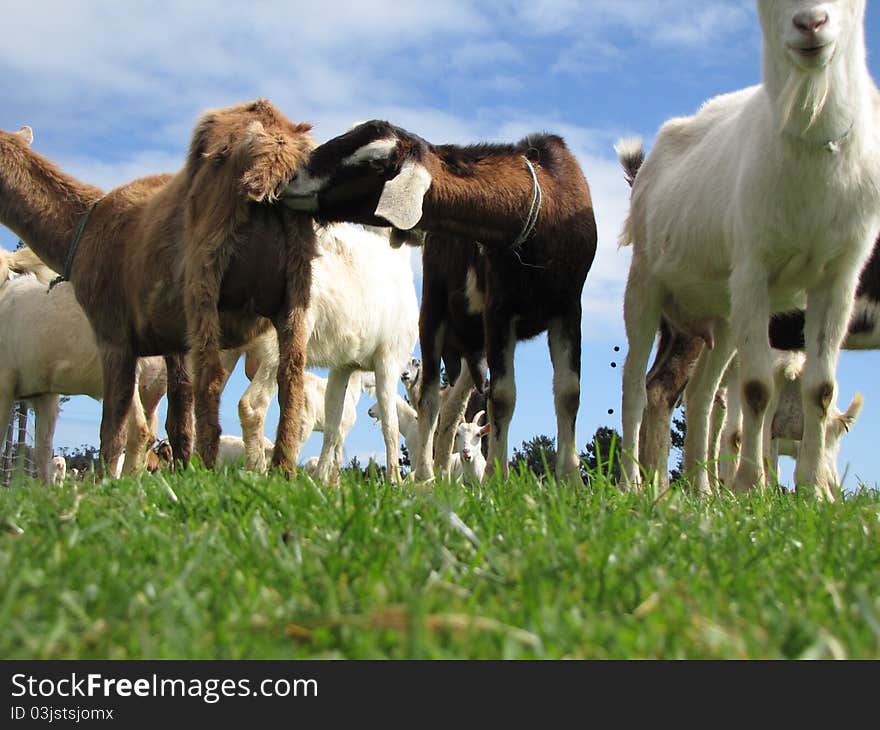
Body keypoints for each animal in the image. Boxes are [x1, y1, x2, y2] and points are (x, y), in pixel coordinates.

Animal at [0, 98, 316, 472]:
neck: (84, 230)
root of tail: (273, 151)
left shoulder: (113, 332)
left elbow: (114, 427)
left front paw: (107, 479)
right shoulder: (170, 337)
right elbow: (177, 415)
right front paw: (178, 471)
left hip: (205, 277)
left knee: (209, 377)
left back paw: (209, 468)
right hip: (296, 286)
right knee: (291, 377)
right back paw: (283, 470)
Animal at [620, 0, 880, 500]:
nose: (810, 23)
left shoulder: (837, 278)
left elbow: (820, 389)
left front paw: (810, 492)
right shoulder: (754, 270)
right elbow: (758, 390)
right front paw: (752, 486)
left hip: (722, 316)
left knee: (700, 395)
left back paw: (700, 490)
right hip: (647, 284)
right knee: (639, 386)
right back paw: (634, 484)